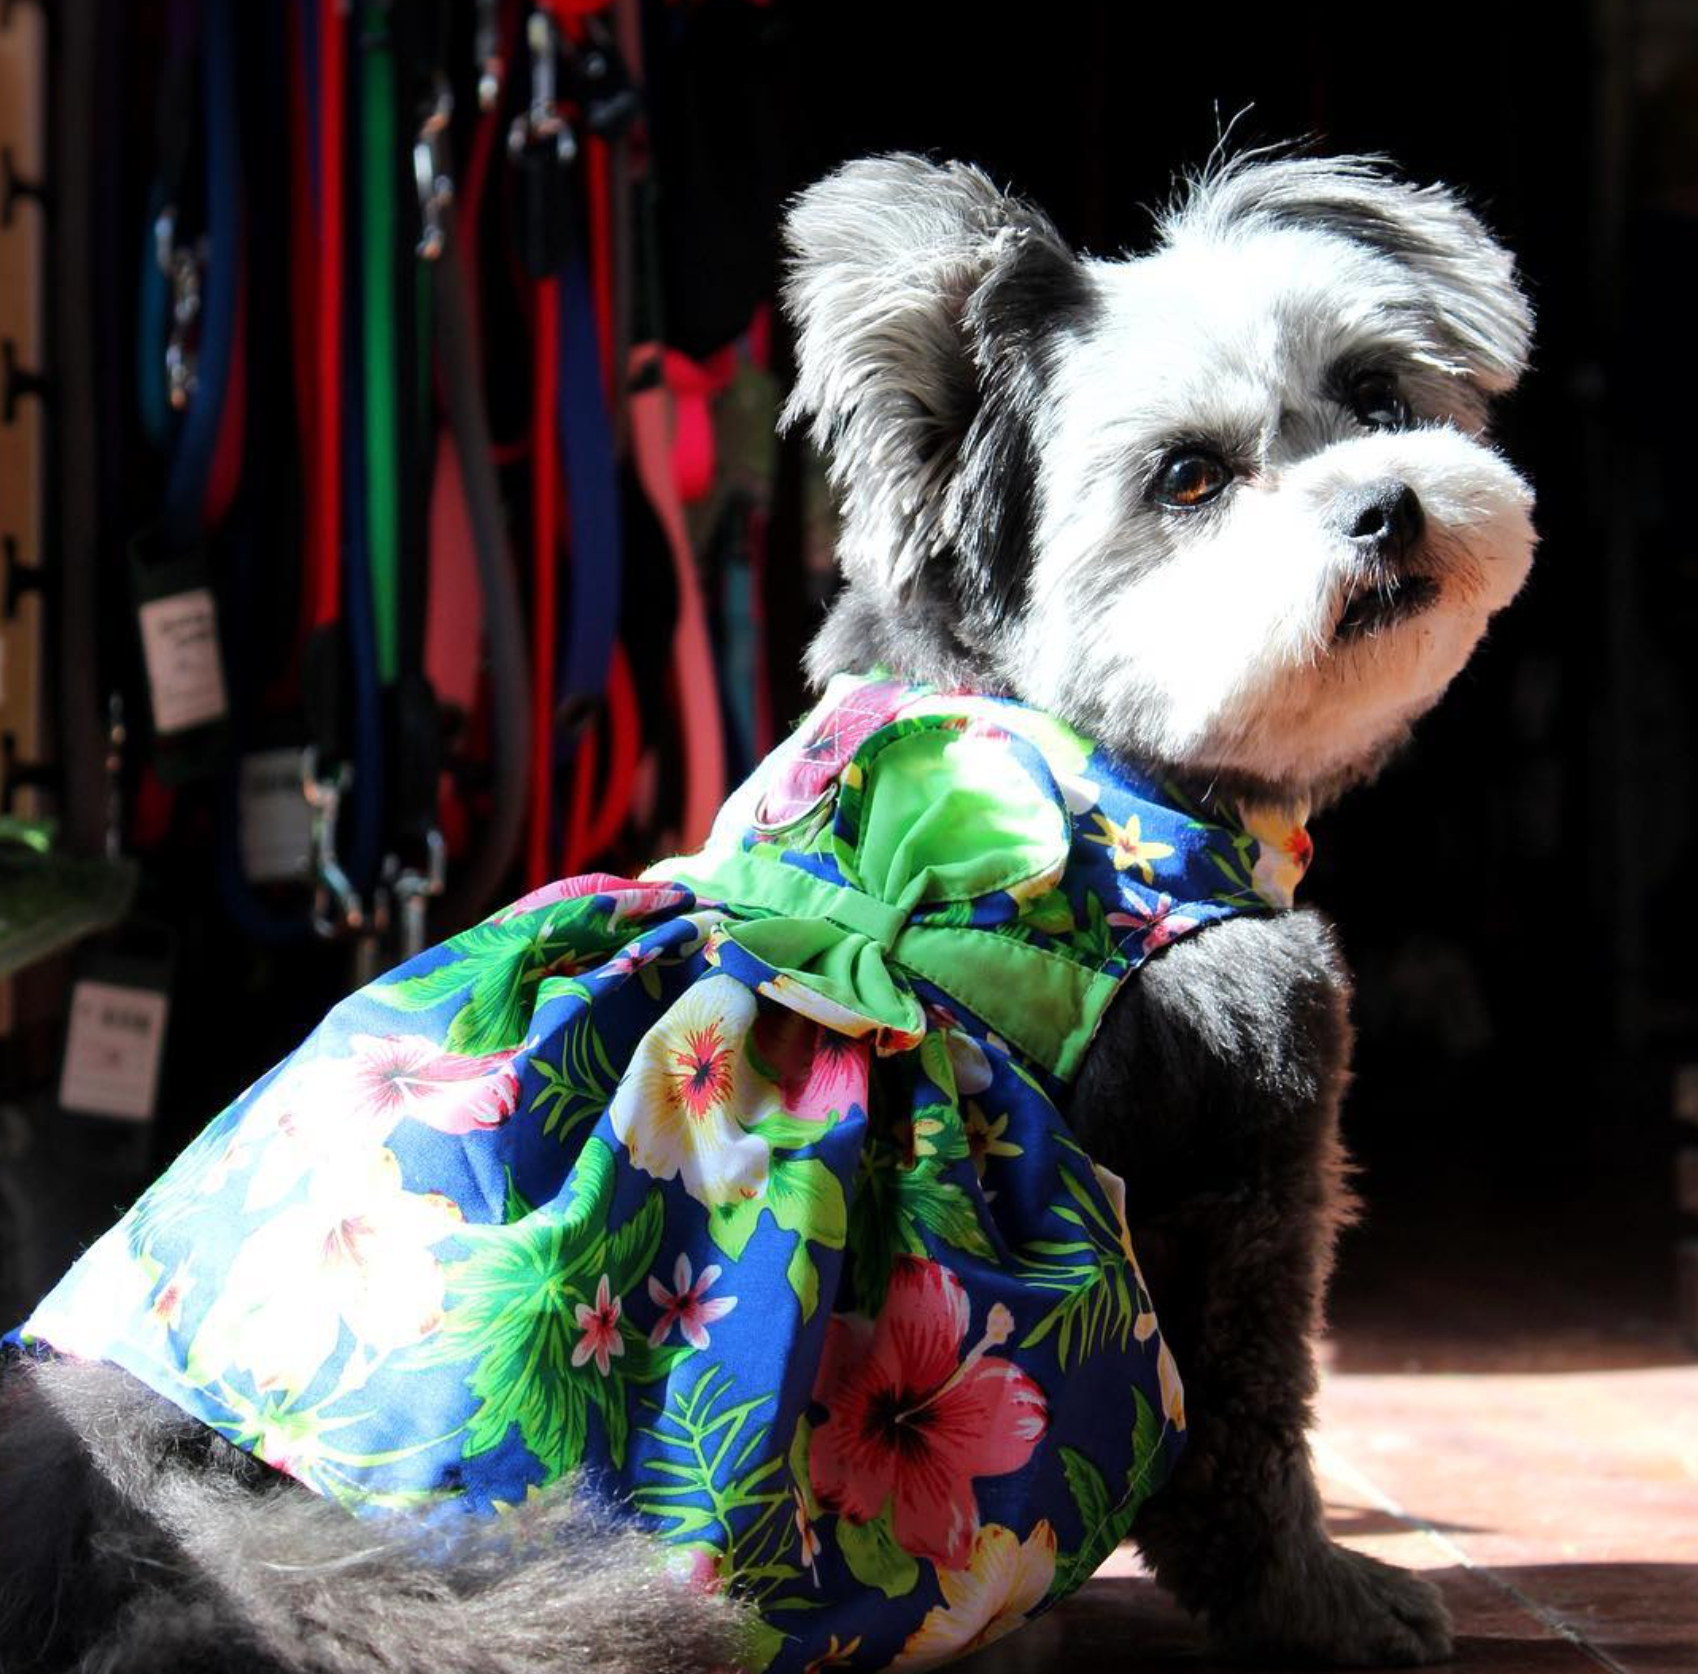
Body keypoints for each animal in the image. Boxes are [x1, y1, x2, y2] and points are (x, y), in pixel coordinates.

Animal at [0, 150, 1541, 1663]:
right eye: (1188, 479)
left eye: (1378, 395)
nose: (1387, 503)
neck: (1077, 751)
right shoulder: (1243, 1158)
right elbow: (1246, 1441)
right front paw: (1329, 1606)